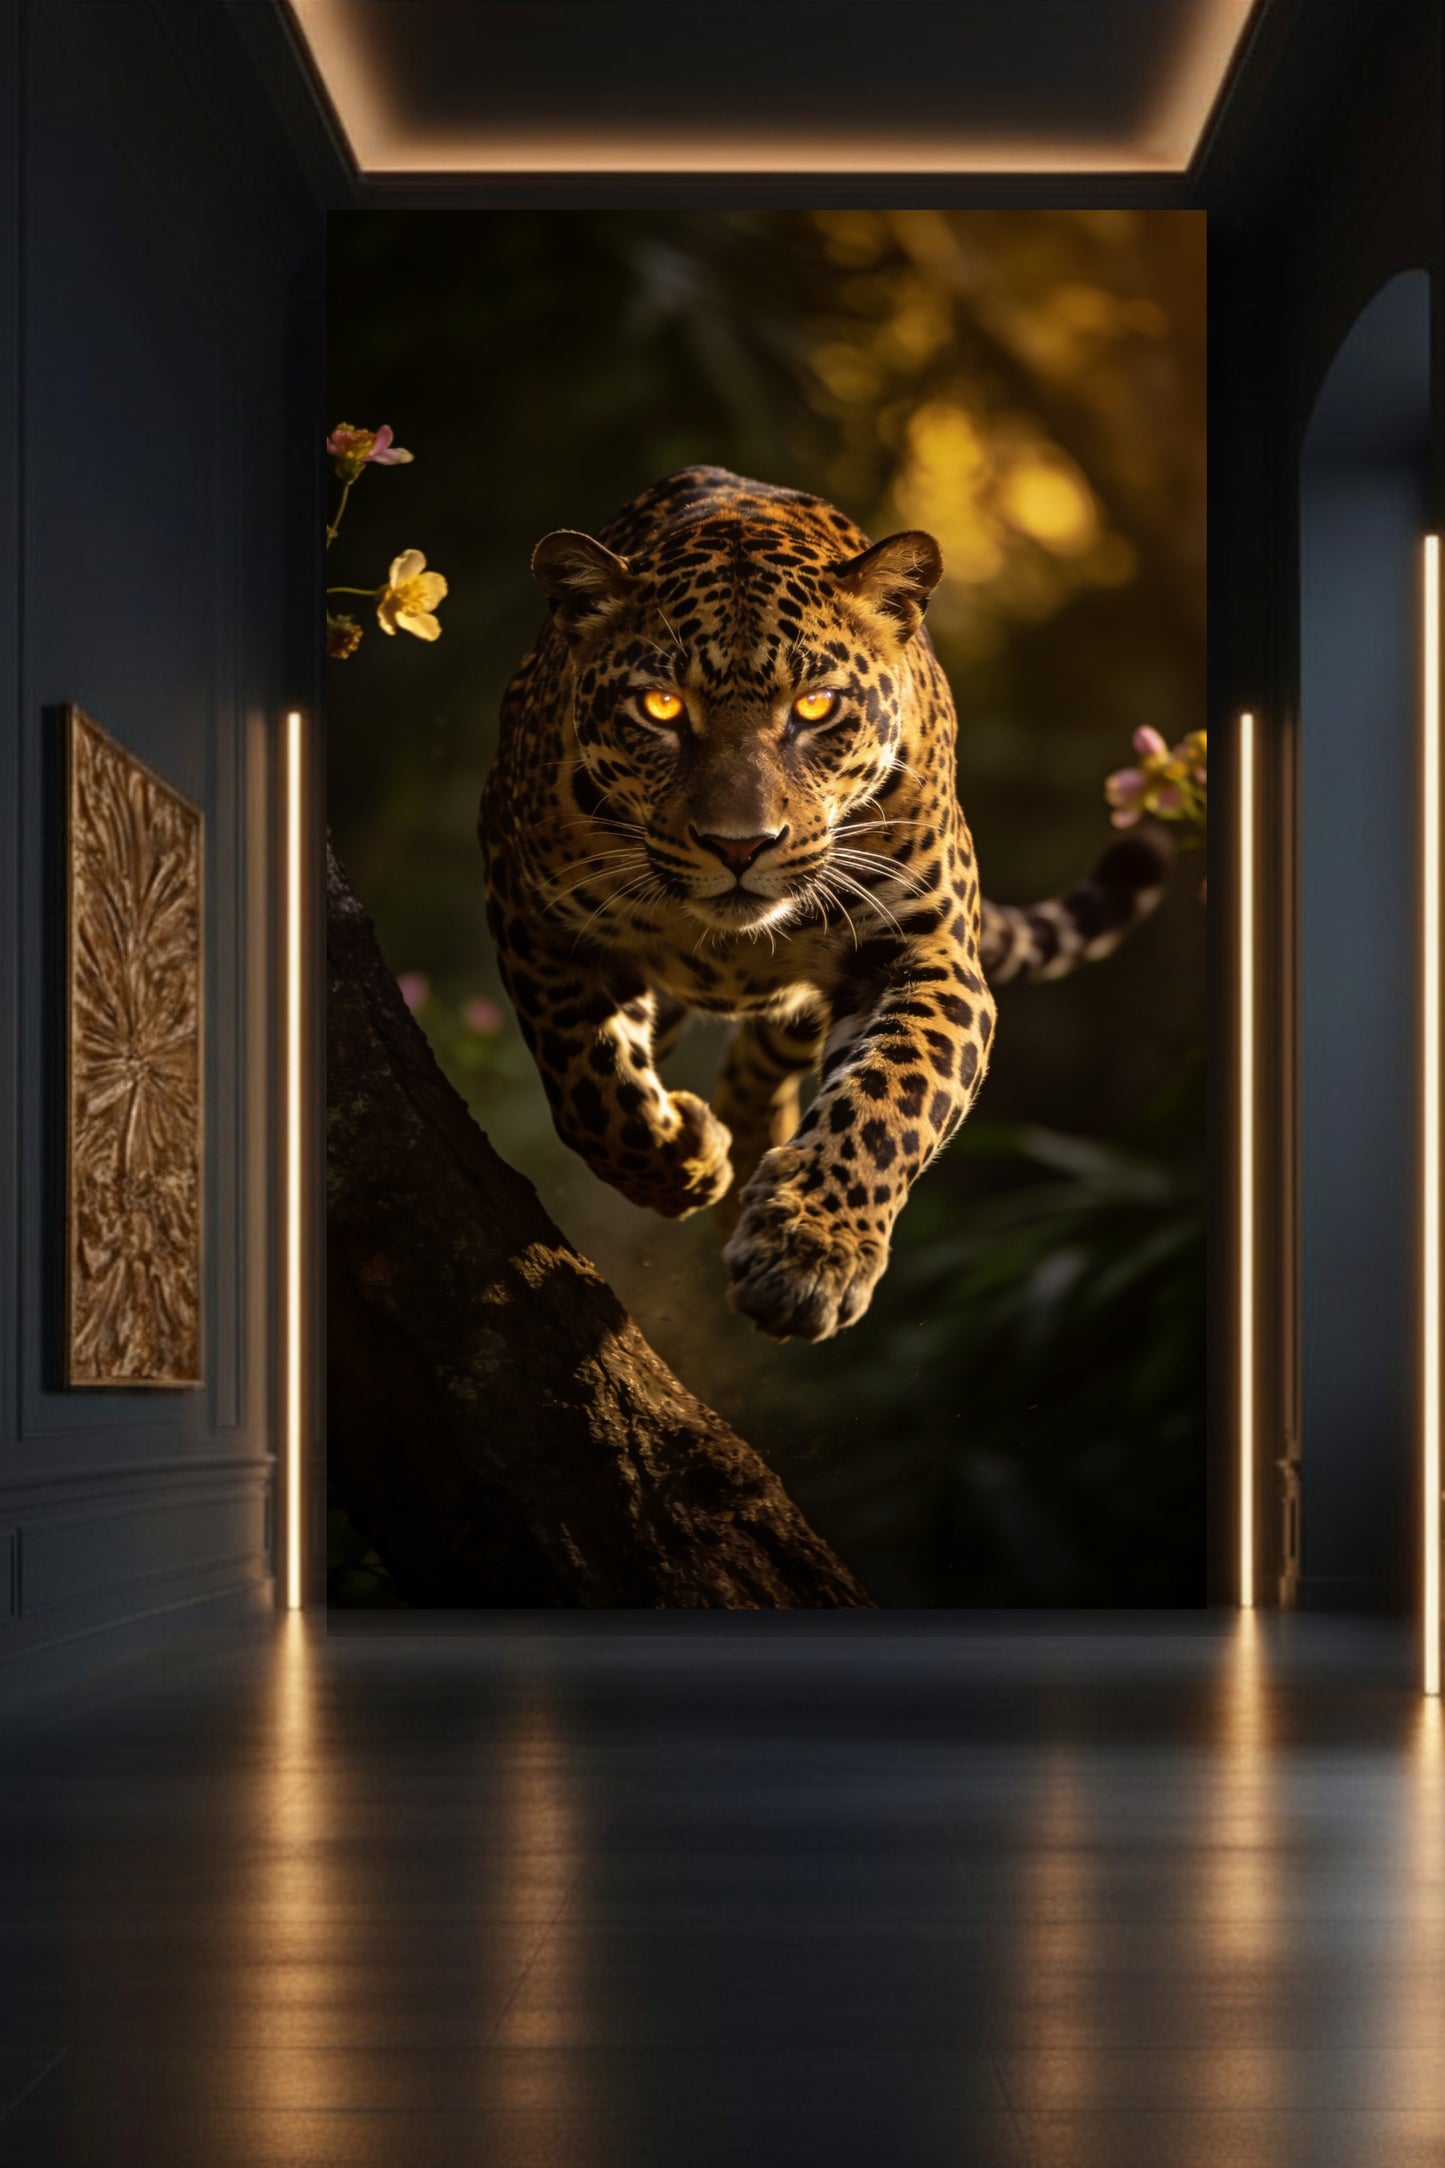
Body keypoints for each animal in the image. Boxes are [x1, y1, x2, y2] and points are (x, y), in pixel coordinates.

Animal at [479, 466, 1169, 1343]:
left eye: (815, 706)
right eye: (660, 707)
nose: (740, 845)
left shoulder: (924, 953)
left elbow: (893, 1097)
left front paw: (809, 1253)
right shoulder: (532, 912)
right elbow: (587, 1081)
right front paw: (679, 1159)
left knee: (762, 1057)